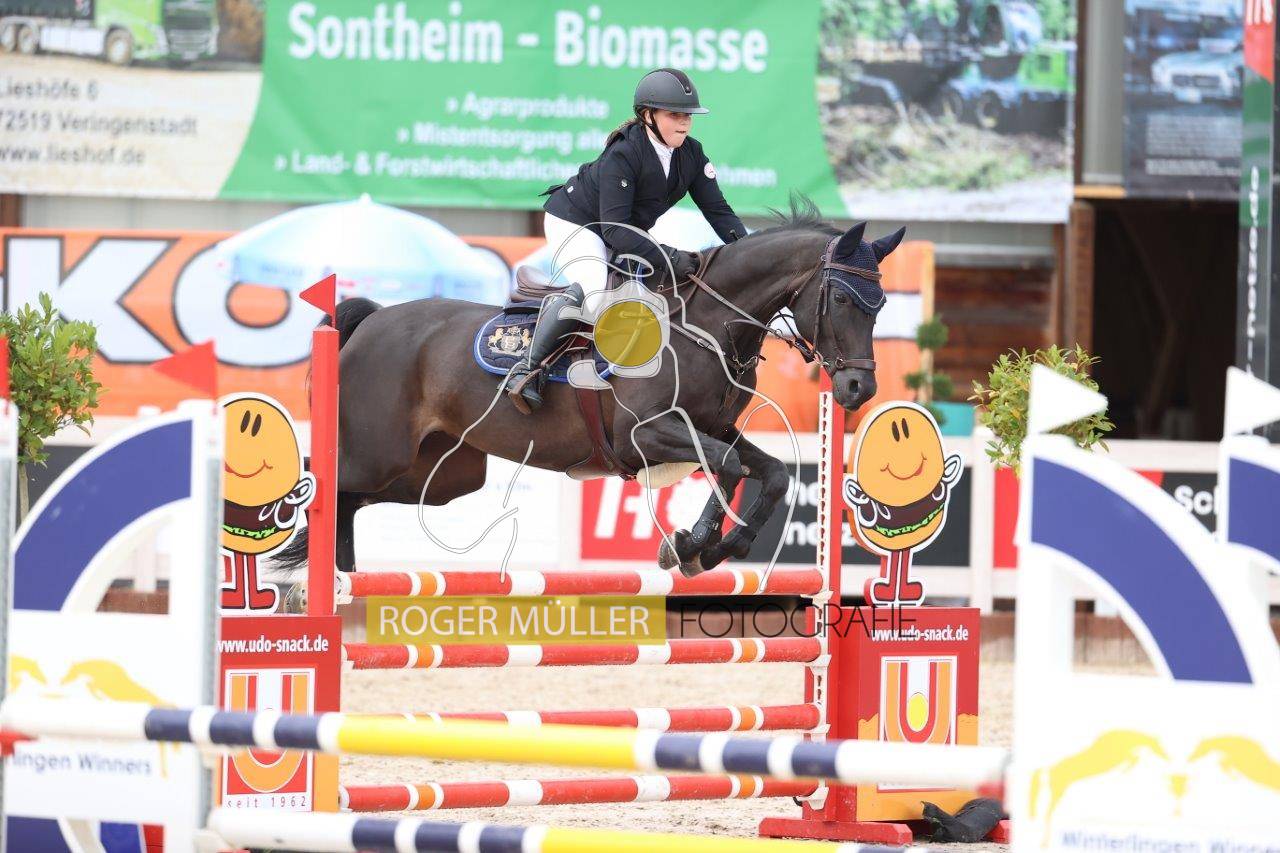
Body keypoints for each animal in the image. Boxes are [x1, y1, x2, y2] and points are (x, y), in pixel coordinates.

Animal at [278, 197, 904, 577]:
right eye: (841, 298)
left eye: (881, 306)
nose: (857, 389)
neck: (707, 325)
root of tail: (372, 321)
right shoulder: (644, 435)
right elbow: (728, 466)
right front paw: (689, 544)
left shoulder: (711, 426)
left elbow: (770, 473)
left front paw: (723, 548)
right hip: (378, 453)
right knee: (328, 489)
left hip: (440, 475)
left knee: (350, 502)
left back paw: (340, 577)